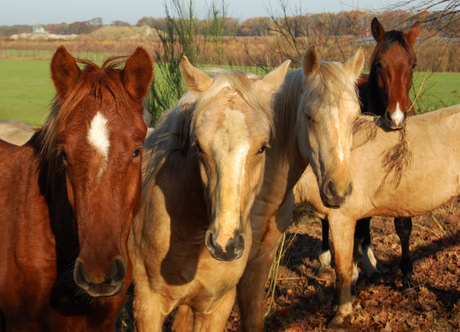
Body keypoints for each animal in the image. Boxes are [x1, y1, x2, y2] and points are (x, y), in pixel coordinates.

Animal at [316, 16, 420, 286]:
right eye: (379, 64)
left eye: (413, 64)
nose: (396, 118)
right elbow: (357, 225)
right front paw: (351, 269)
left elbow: (402, 224)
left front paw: (407, 273)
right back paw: (325, 257)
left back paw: (371, 261)